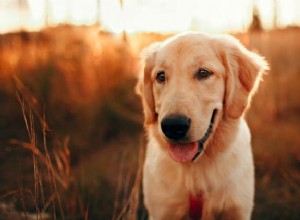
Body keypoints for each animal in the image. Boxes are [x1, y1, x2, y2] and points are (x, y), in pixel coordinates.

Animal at [137, 32, 268, 220]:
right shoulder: (162, 211)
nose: (173, 126)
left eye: (203, 73)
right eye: (160, 77)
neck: (196, 169)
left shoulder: (237, 210)